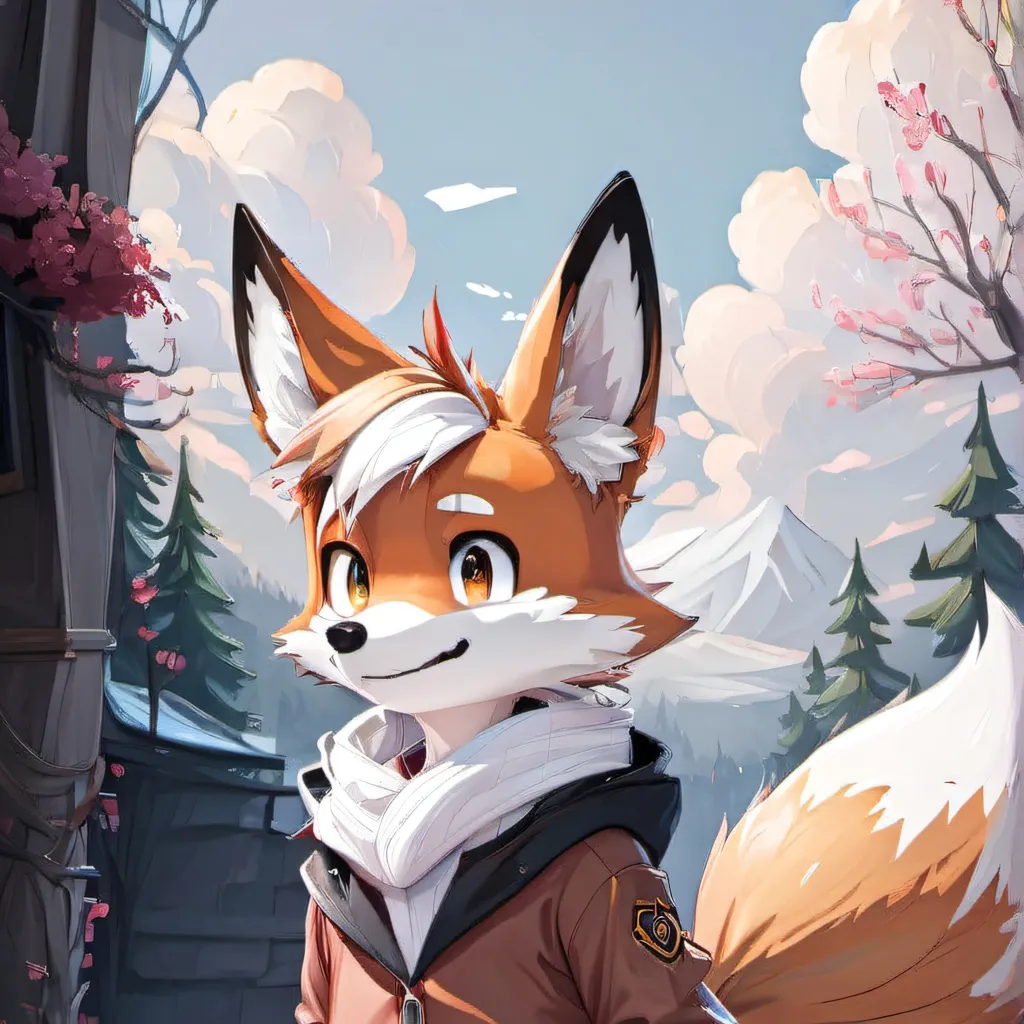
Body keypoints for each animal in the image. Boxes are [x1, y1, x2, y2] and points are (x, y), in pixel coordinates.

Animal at [230, 171, 1024, 1024]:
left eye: (477, 565)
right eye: (350, 573)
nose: (350, 637)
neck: (414, 830)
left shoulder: (614, 886)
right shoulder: (327, 949)